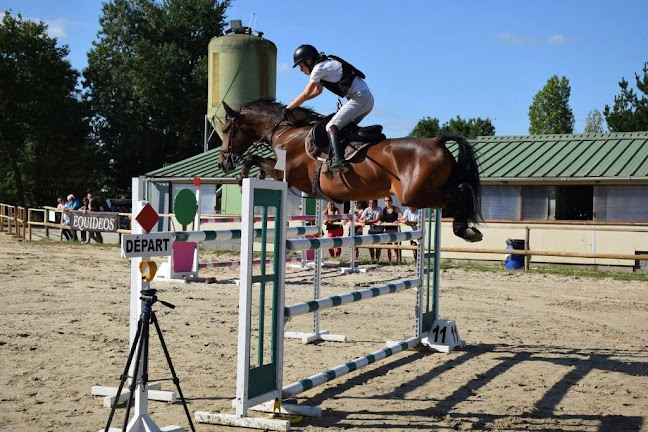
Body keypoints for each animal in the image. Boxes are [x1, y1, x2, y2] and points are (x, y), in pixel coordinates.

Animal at [220, 96, 484, 243]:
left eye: (225, 130)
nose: (223, 162)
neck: (285, 131)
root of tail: (437, 141)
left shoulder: (287, 175)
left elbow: (253, 158)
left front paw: (242, 178)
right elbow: (257, 160)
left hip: (415, 195)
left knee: (460, 191)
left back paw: (464, 230)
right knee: (459, 190)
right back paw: (466, 230)